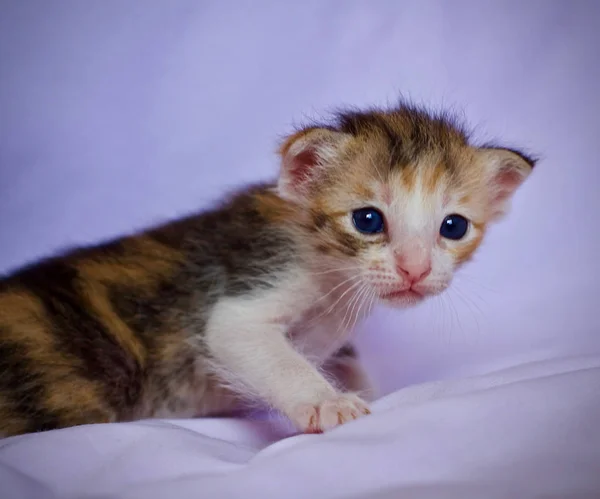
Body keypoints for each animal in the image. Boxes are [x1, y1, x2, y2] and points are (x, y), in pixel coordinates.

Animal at [0, 102, 536, 438]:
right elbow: (264, 349)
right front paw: (328, 402)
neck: (332, 275)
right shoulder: (252, 285)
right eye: (367, 220)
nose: (415, 269)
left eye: (453, 226)